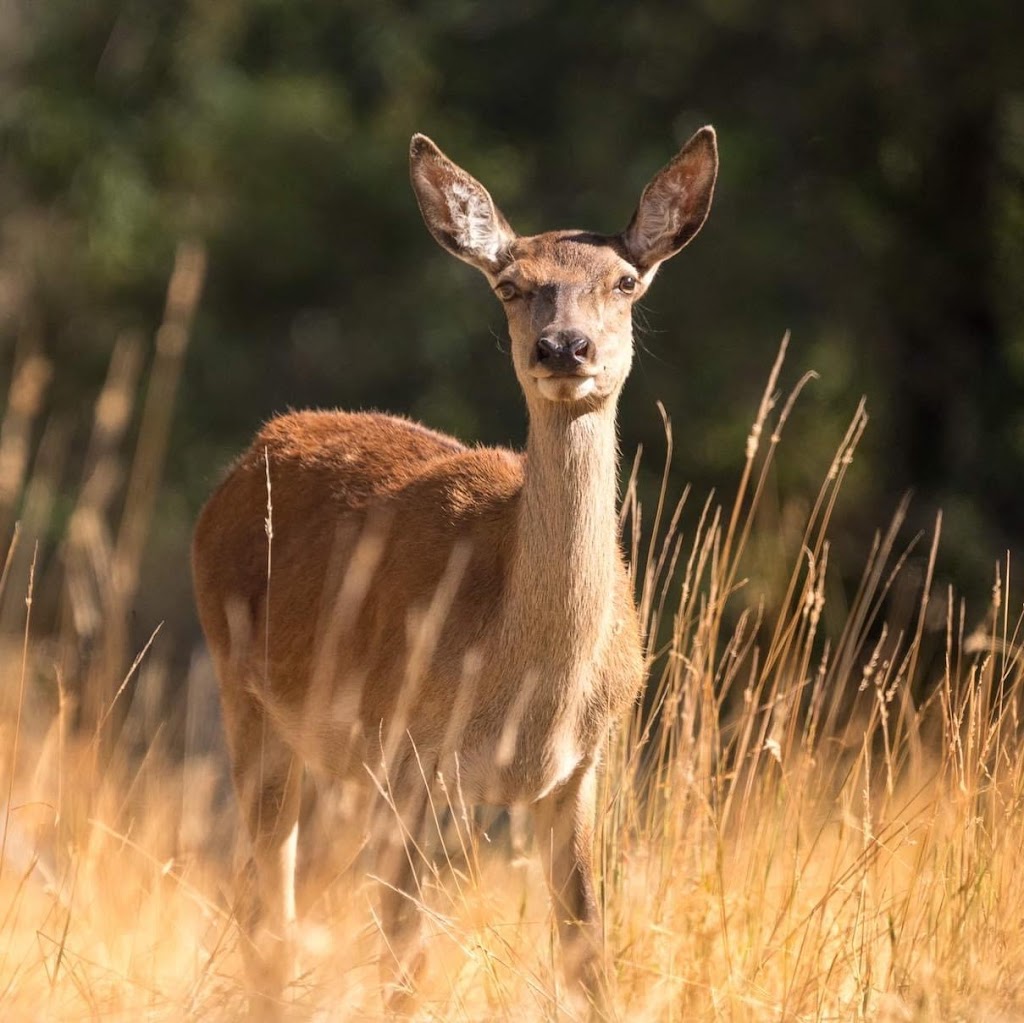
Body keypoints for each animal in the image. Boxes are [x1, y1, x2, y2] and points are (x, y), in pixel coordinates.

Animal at [193, 125, 720, 1015]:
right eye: (511, 285)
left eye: (625, 281)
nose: (564, 346)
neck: (529, 689)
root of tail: (244, 460)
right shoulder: (407, 753)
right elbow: (407, 962)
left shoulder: (582, 770)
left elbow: (590, 957)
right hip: (246, 693)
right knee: (269, 903)